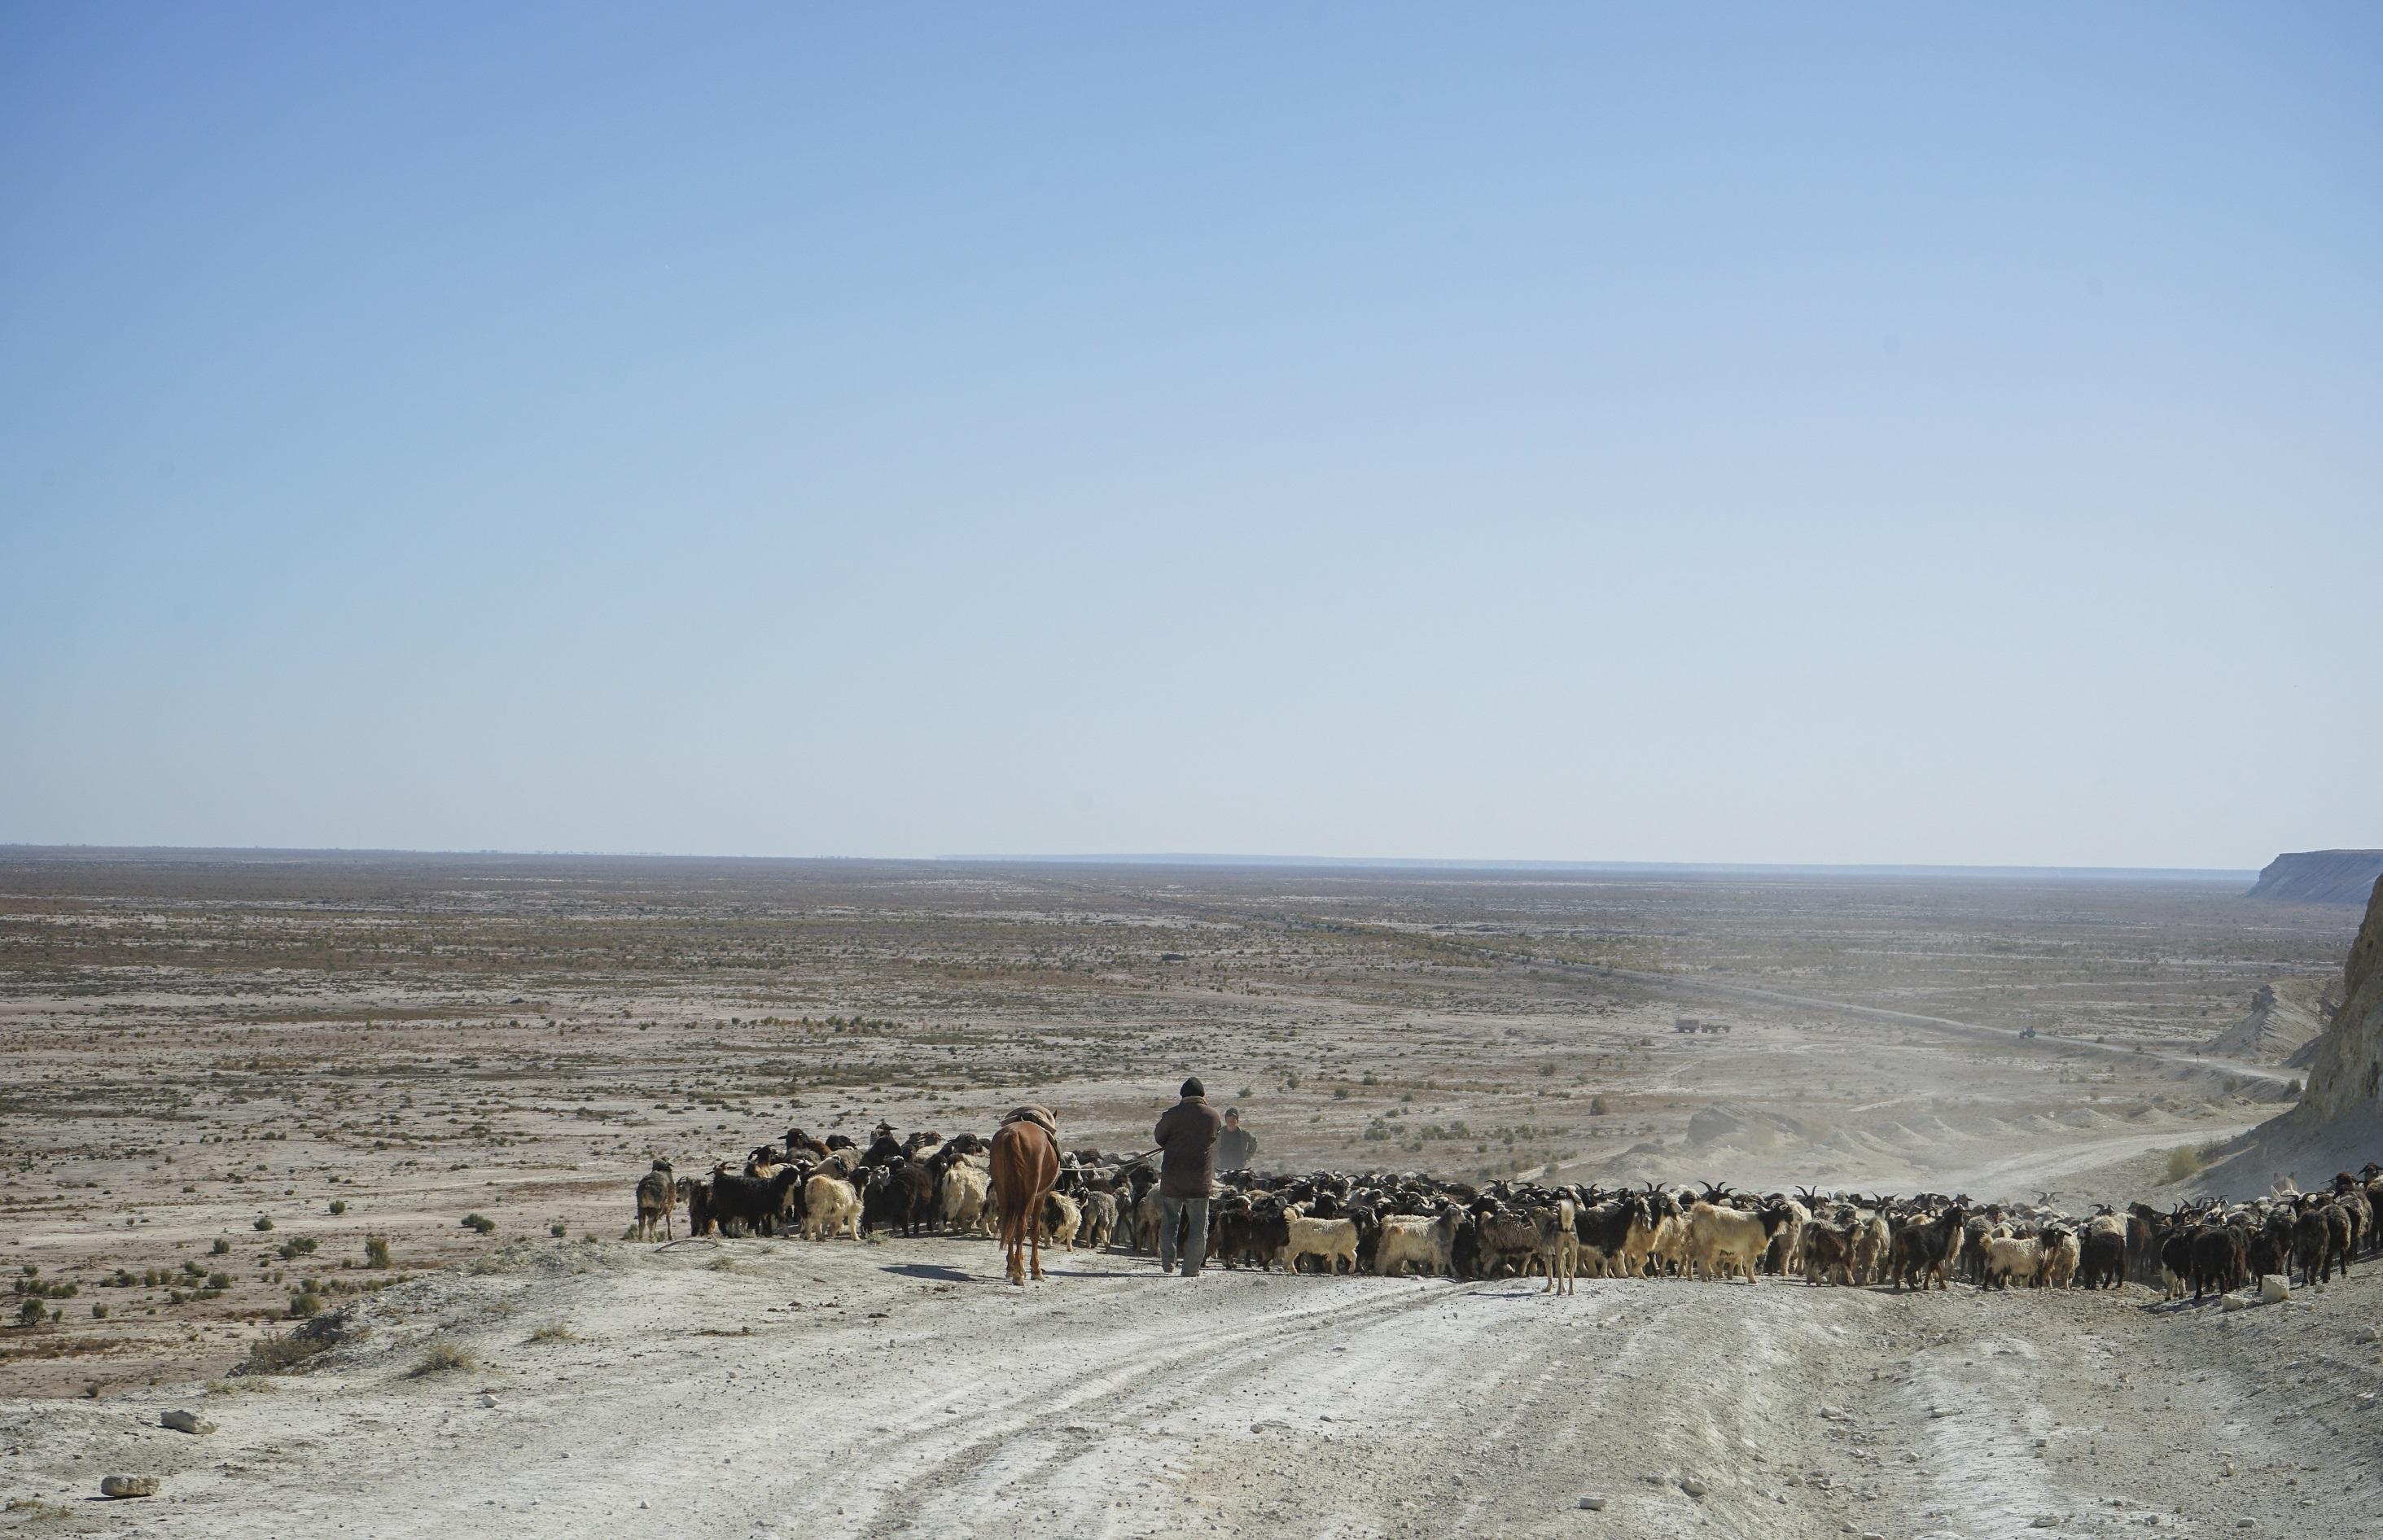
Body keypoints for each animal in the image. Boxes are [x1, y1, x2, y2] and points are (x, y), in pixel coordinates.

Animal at [986, 1110, 1062, 1287]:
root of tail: (1013, 1135)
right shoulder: (1040, 1197)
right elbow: (1034, 1232)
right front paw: (1035, 1270)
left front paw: (1011, 1266)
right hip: (1029, 1195)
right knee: (1021, 1226)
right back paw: (1019, 1274)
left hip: (1004, 1192)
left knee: (1007, 1225)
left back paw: (1012, 1269)